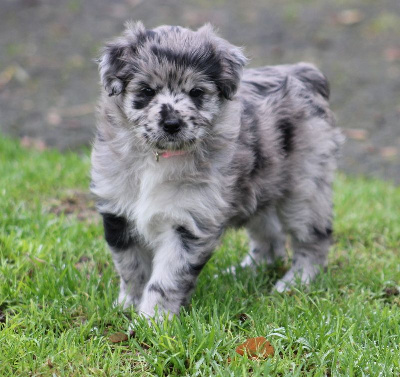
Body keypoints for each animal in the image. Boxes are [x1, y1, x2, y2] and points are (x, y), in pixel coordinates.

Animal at [90, 22, 344, 318]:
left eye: (196, 93)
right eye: (147, 91)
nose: (172, 123)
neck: (158, 158)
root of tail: (304, 73)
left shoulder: (187, 221)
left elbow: (165, 280)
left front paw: (152, 320)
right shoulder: (118, 212)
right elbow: (131, 268)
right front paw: (127, 305)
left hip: (306, 189)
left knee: (313, 240)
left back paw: (296, 282)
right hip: (258, 187)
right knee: (270, 239)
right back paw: (244, 273)